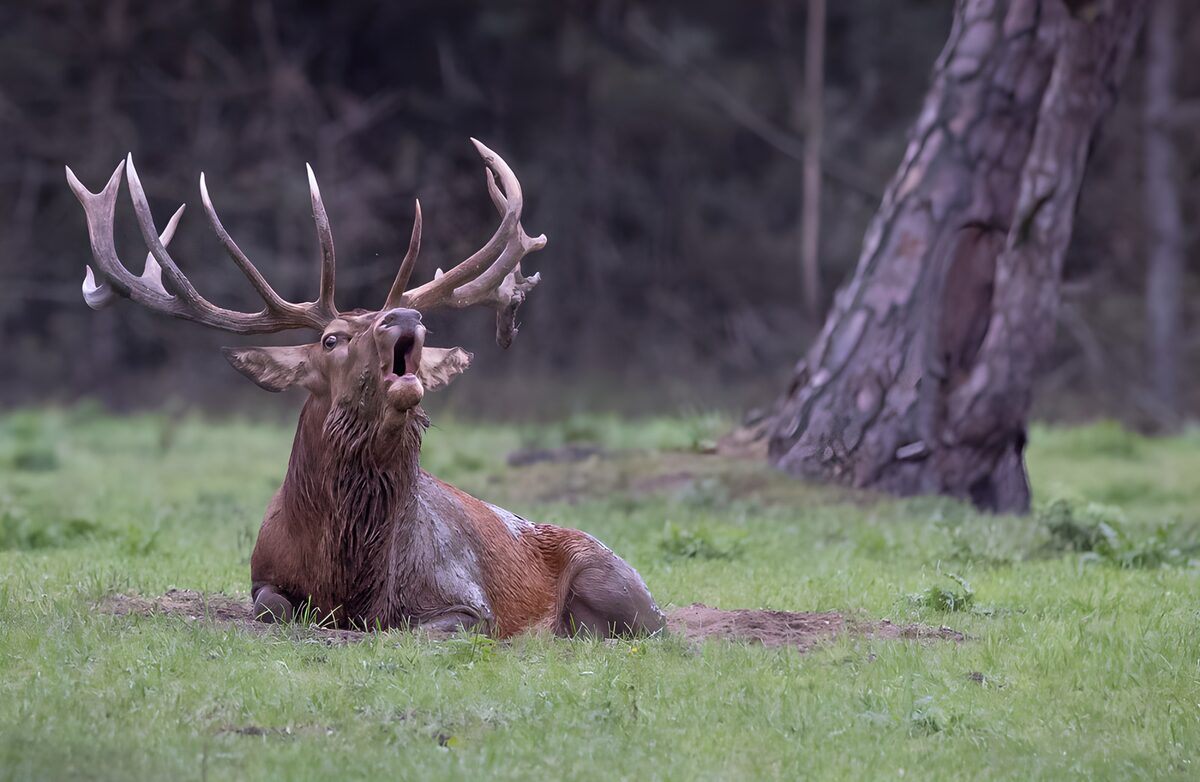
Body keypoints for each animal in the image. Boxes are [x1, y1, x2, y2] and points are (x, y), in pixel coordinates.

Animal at [66, 140, 666, 639]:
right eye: (331, 338)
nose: (405, 316)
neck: (350, 573)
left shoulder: (468, 600)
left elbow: (413, 628)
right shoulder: (260, 575)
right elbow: (274, 607)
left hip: (614, 581)